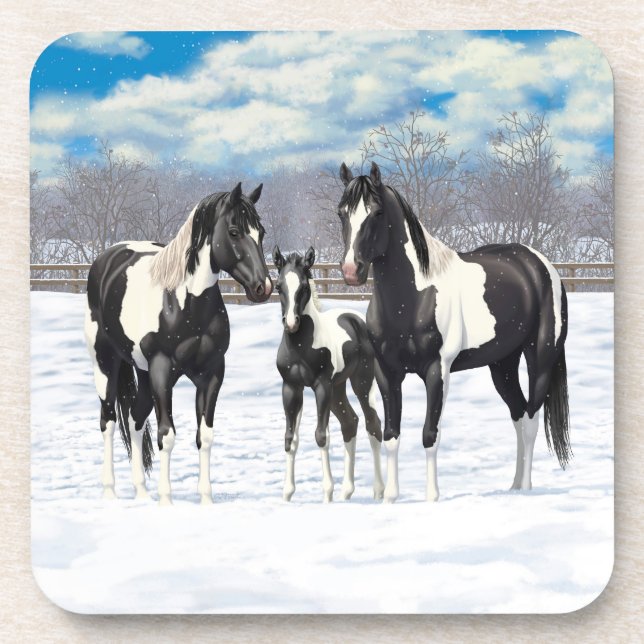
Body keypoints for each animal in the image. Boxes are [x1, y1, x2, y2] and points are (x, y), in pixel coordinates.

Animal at [84, 182, 273, 505]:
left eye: (260, 232)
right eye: (234, 231)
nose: (264, 287)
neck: (184, 303)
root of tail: (106, 259)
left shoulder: (211, 374)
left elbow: (205, 436)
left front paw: (206, 499)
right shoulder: (162, 372)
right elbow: (167, 436)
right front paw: (166, 501)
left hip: (142, 372)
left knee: (134, 419)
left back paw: (141, 492)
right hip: (105, 362)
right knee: (108, 421)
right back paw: (110, 493)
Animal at [273, 246, 385, 503]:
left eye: (304, 286)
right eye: (279, 286)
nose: (291, 323)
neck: (301, 345)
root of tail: (357, 320)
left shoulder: (320, 386)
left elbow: (321, 435)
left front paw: (327, 493)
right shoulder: (291, 388)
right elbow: (290, 438)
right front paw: (287, 494)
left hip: (360, 383)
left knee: (373, 423)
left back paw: (378, 491)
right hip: (337, 390)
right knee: (350, 422)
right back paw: (347, 491)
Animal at [337, 161, 571, 503]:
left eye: (376, 213)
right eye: (341, 213)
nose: (351, 271)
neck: (413, 298)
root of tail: (539, 264)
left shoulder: (438, 371)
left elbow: (430, 434)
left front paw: (432, 497)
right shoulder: (387, 373)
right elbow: (391, 434)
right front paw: (391, 497)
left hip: (539, 360)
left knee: (530, 419)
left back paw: (526, 488)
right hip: (502, 365)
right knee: (517, 414)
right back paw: (513, 486)